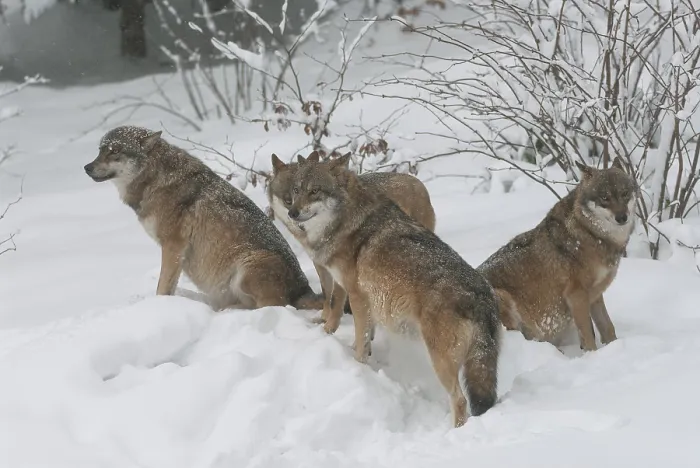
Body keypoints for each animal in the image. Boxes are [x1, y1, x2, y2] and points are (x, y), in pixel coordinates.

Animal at [83, 126, 322, 311]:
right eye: (100, 150)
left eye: (115, 151)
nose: (86, 167)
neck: (155, 180)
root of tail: (304, 289)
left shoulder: (173, 246)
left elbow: (162, 287)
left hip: (247, 267)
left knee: (273, 307)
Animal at [267, 151, 436, 331]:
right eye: (290, 196)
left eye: (314, 191)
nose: (293, 214)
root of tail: (418, 183)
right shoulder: (321, 264)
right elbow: (326, 294)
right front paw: (323, 317)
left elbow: (336, 300)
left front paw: (330, 328)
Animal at [286, 154, 500, 427]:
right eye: (296, 190)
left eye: (314, 191)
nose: (292, 212)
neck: (348, 219)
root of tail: (482, 296)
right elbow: (365, 335)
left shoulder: (357, 296)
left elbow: (358, 335)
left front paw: (357, 365)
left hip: (440, 360)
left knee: (460, 400)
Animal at [478, 158, 638, 351]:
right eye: (604, 198)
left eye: (624, 194)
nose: (622, 217)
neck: (590, 233)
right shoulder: (576, 295)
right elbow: (588, 336)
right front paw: (592, 354)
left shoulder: (595, 295)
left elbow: (608, 327)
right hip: (502, 298)